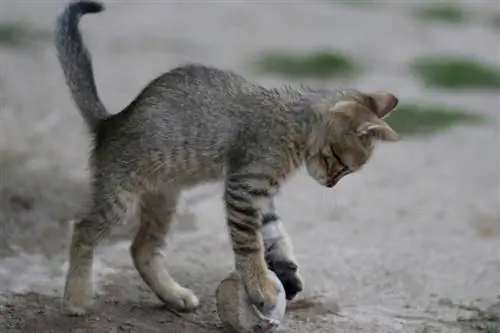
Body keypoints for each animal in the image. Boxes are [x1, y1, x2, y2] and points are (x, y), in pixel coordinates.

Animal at [57, 0, 402, 316]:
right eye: (341, 164)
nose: (331, 184)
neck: (294, 122)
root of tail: (110, 122)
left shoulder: (260, 194)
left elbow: (273, 233)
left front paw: (283, 272)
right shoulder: (244, 187)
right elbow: (250, 245)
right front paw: (261, 286)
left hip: (164, 199)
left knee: (141, 249)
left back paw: (173, 295)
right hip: (120, 195)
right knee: (83, 229)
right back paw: (76, 297)